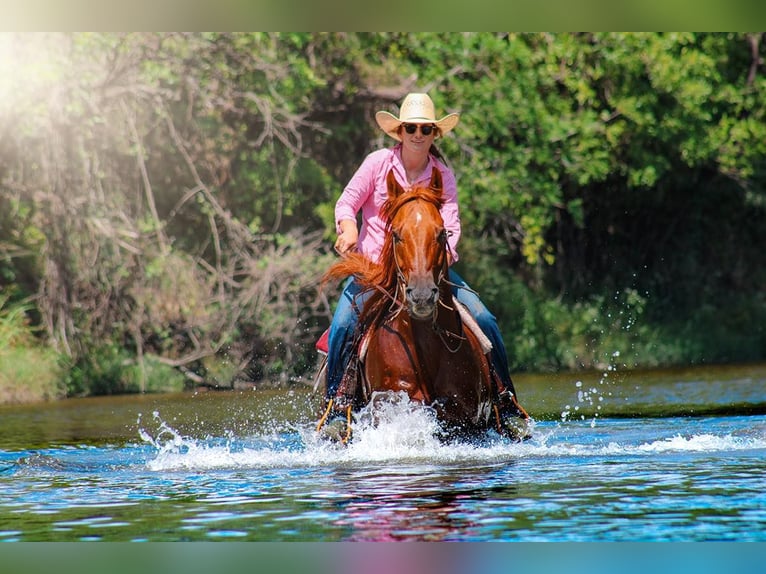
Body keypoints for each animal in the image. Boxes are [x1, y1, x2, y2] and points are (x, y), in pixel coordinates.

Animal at [316, 166, 532, 446]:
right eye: (396, 234)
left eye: (441, 233)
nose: (421, 296)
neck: (425, 348)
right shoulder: (393, 399)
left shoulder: (468, 420)